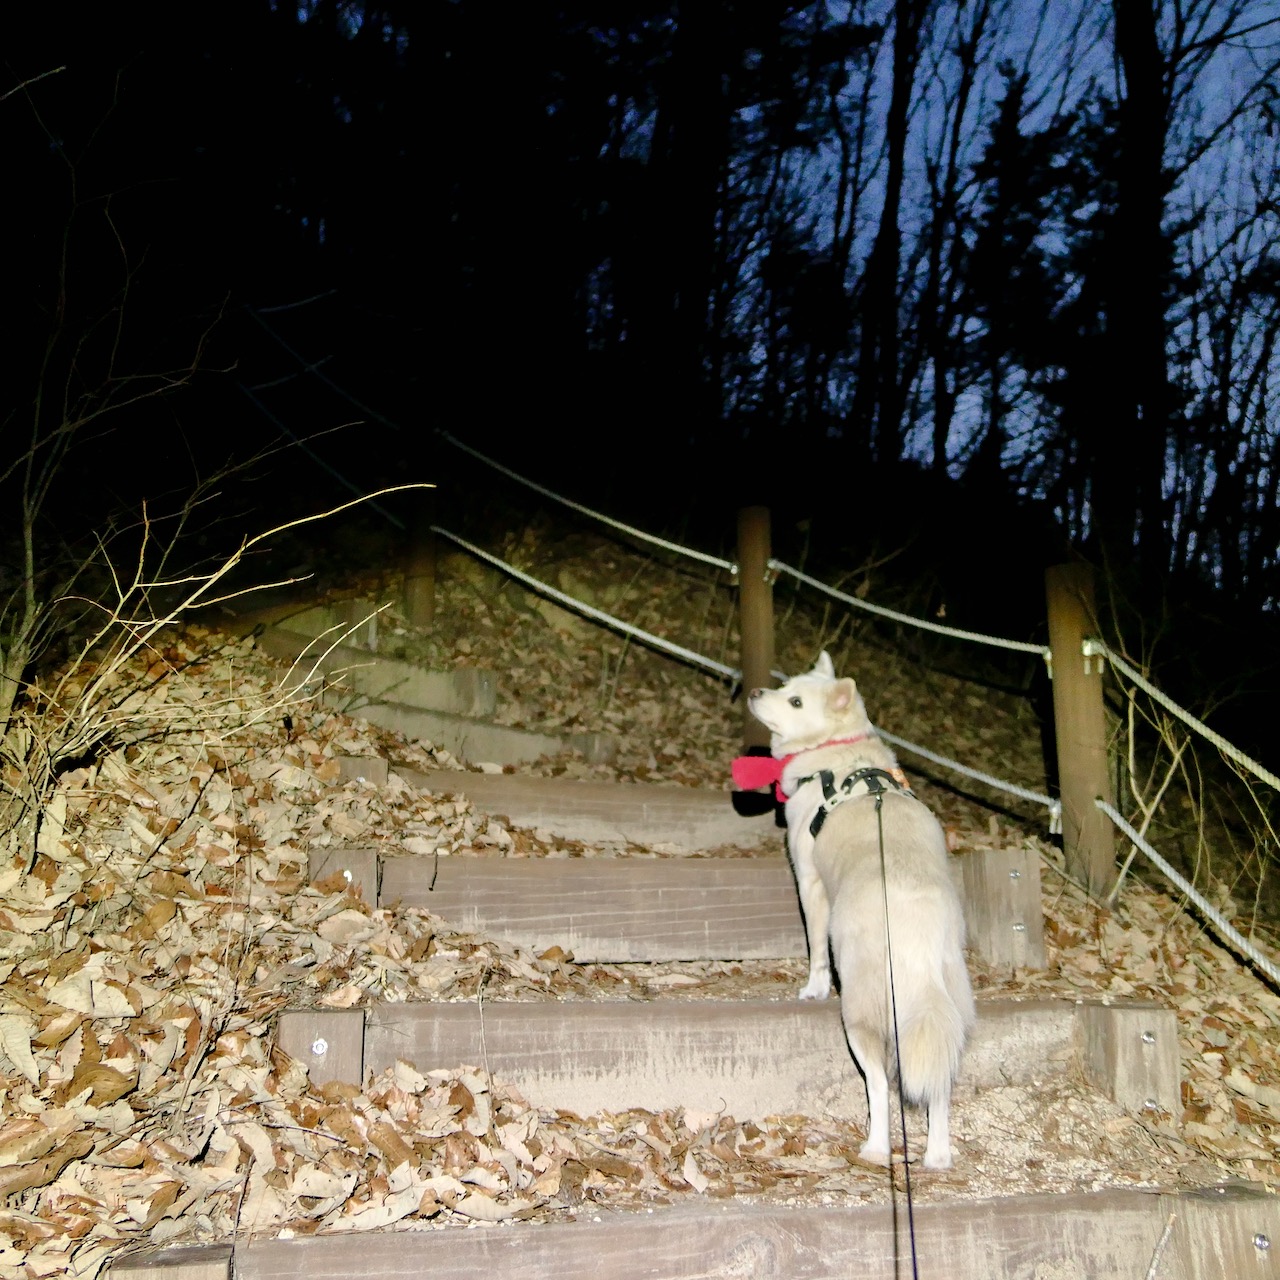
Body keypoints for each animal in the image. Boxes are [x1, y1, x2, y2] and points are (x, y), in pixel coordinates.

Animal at [737, 660, 972, 1172]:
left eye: (795, 701)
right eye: (785, 686)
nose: (756, 691)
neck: (836, 751)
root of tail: (916, 933)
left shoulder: (809, 880)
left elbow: (815, 950)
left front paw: (813, 988)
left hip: (862, 1015)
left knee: (881, 1086)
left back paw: (877, 1148)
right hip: (947, 1012)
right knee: (939, 1086)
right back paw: (938, 1154)